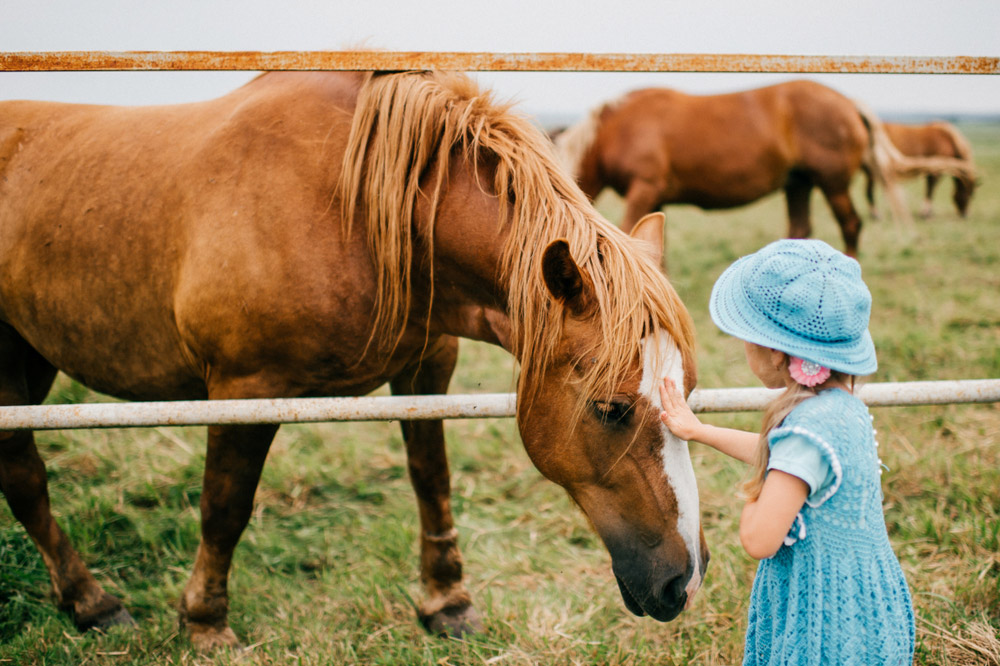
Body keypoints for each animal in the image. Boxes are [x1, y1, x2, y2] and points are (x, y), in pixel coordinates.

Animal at [1, 71, 704, 648]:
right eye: (610, 408)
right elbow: (224, 508)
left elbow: (431, 481)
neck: (349, 207)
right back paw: (94, 602)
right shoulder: (243, 387)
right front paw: (205, 623)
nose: (684, 582)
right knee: (27, 477)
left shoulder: (427, 366)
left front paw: (447, 603)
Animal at [556, 80, 960, 256]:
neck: (615, 128)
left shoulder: (644, 190)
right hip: (798, 184)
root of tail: (847, 101)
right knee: (800, 229)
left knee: (851, 225)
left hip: (832, 185)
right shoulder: (657, 201)